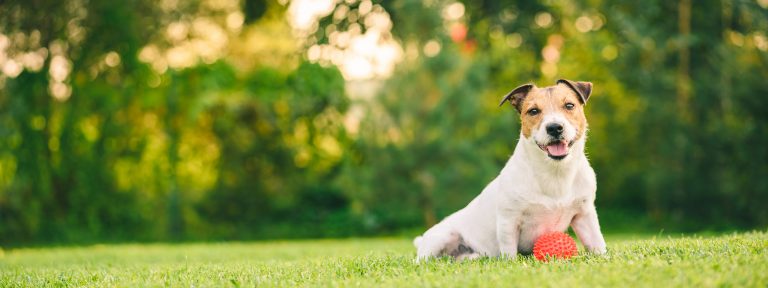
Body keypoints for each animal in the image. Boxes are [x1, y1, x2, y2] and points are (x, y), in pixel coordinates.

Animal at [414, 79, 608, 260]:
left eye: (569, 105)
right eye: (533, 111)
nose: (554, 128)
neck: (555, 173)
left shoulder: (584, 215)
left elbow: (597, 242)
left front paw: (603, 257)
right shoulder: (509, 220)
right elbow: (509, 252)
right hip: (442, 237)